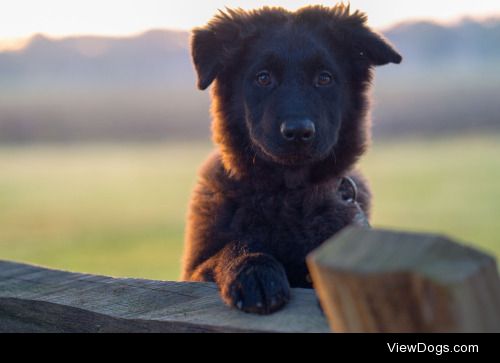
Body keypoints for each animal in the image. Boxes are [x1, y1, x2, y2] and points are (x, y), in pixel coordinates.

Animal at [182, 4, 400, 314]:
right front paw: (254, 270)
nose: (298, 132)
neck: (290, 197)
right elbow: (231, 247)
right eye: (263, 78)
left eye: (324, 78)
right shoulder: (193, 272)